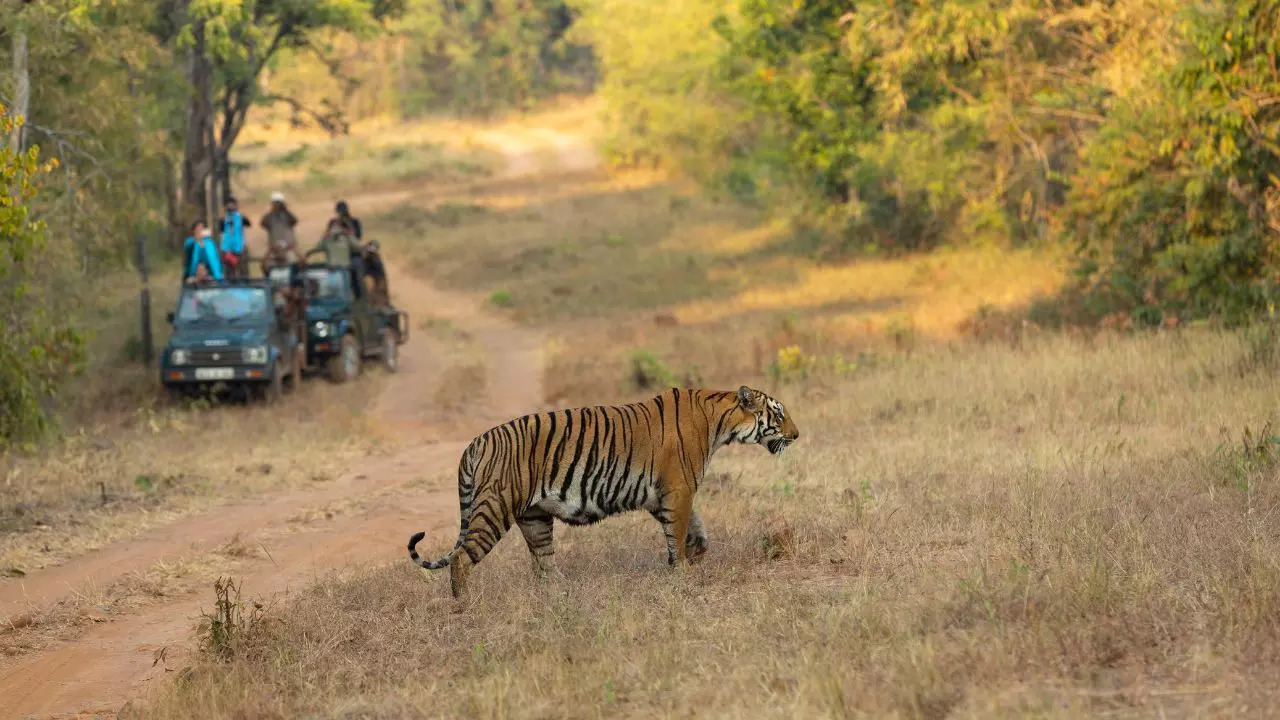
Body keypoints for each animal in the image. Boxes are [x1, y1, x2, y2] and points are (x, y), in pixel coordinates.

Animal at [407, 384, 798, 597]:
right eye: (778, 415)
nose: (797, 435)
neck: (720, 421)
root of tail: (475, 442)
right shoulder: (678, 490)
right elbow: (679, 531)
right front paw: (683, 571)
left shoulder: (662, 495)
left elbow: (695, 530)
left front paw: (695, 554)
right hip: (495, 507)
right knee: (461, 558)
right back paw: (464, 606)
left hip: (534, 519)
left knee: (543, 565)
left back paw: (560, 594)